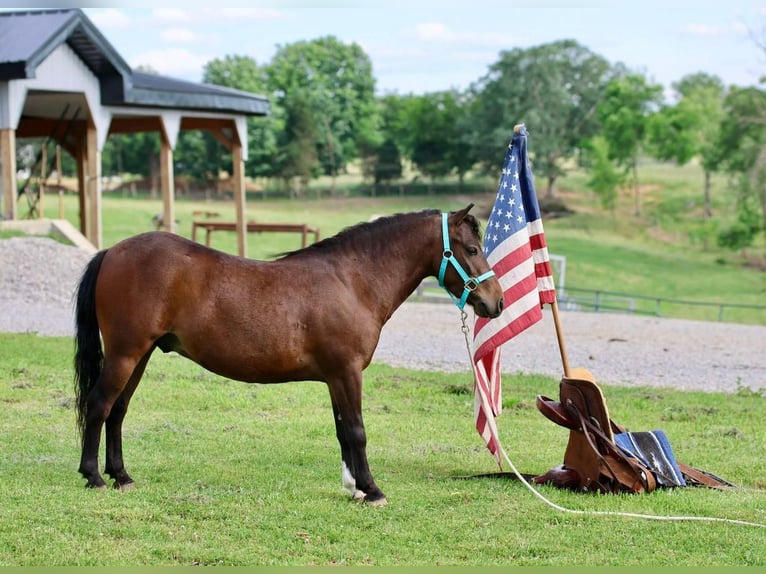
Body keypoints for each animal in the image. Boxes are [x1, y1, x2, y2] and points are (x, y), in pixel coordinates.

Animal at [72, 205, 504, 506]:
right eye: (472, 248)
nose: (496, 302)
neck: (352, 281)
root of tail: (112, 251)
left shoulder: (335, 377)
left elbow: (343, 431)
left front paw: (354, 488)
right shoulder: (347, 372)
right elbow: (357, 431)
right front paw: (372, 489)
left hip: (139, 355)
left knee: (118, 410)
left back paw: (121, 476)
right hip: (125, 354)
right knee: (99, 405)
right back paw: (93, 476)